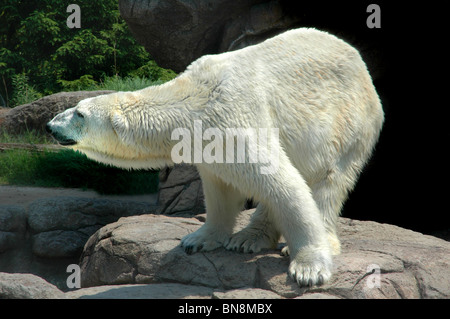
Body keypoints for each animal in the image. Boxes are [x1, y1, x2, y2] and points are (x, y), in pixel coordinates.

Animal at [46, 28, 384, 288]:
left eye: (79, 113)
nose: (50, 126)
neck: (192, 101)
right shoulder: (209, 144)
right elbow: (220, 188)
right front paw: (197, 239)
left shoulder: (234, 118)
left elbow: (283, 182)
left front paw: (309, 268)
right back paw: (248, 238)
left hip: (350, 122)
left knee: (329, 180)